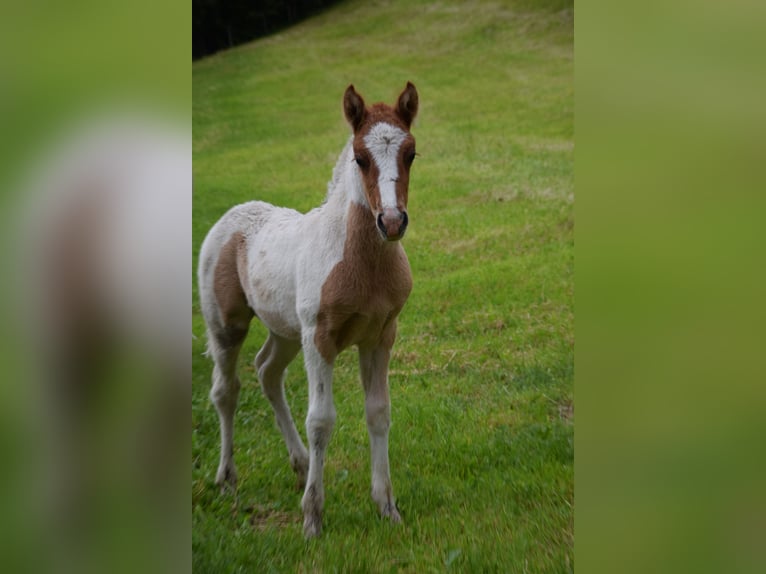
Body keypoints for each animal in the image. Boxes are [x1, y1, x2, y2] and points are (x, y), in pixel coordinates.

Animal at [198, 82, 420, 540]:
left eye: (410, 153)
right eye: (360, 157)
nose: (392, 222)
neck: (361, 263)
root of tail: (231, 216)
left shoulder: (381, 336)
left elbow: (378, 412)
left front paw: (387, 507)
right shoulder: (320, 339)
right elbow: (320, 421)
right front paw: (313, 519)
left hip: (285, 331)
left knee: (267, 371)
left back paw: (299, 464)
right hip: (227, 327)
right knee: (225, 391)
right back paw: (227, 478)